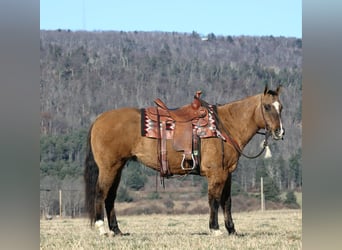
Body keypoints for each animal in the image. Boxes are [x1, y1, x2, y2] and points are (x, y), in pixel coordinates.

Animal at [84, 85, 284, 235]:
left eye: (280, 107)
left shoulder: (227, 173)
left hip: (117, 168)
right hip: (109, 167)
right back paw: (102, 229)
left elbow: (227, 201)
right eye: (267, 107)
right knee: (101, 193)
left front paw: (232, 230)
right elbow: (214, 200)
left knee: (110, 197)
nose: (279, 132)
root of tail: (98, 120)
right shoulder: (216, 173)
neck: (224, 126)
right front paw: (215, 229)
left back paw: (116, 230)